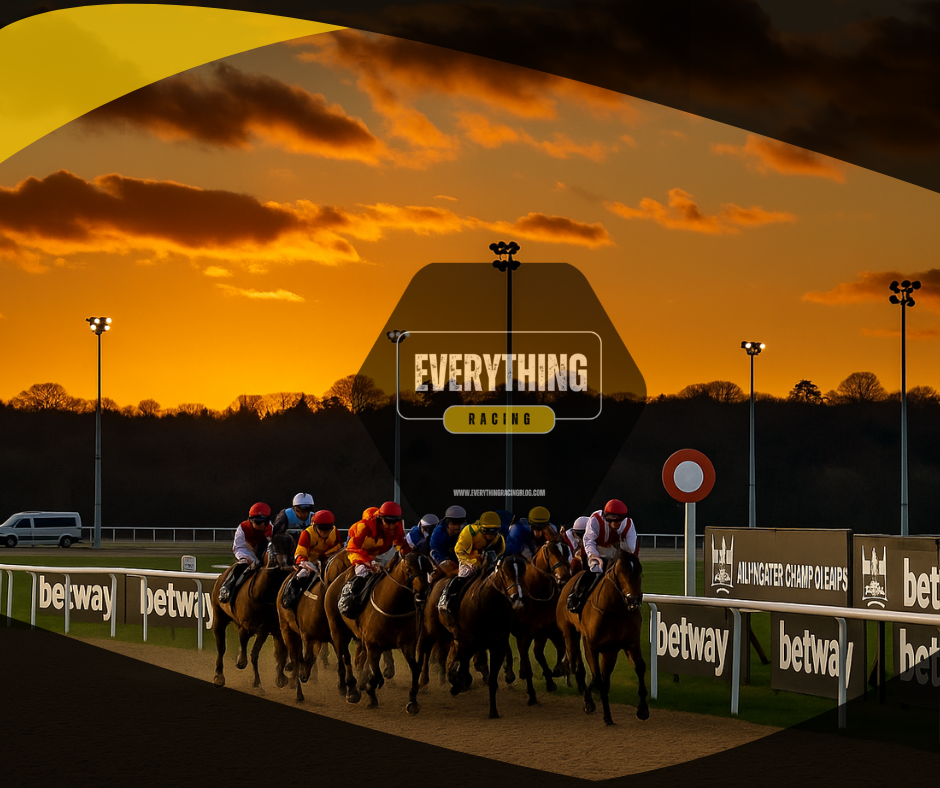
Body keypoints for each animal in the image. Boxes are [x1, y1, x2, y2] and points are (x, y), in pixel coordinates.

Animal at [211, 532, 295, 690]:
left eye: (292, 545)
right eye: (274, 545)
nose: (287, 565)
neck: (261, 593)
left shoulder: (268, 627)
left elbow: (271, 652)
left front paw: (277, 678)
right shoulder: (245, 625)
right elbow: (244, 646)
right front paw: (240, 660)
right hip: (219, 617)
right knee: (220, 648)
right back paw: (219, 676)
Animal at [324, 552, 432, 713]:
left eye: (427, 567)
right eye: (408, 568)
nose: (423, 593)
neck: (393, 607)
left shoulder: (407, 644)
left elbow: (415, 668)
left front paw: (412, 700)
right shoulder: (373, 645)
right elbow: (375, 674)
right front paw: (371, 693)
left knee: (356, 658)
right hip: (337, 630)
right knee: (344, 657)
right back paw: (349, 688)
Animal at [437, 554, 529, 719]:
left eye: (523, 571)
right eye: (505, 573)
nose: (517, 597)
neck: (488, 606)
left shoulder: (497, 645)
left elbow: (492, 679)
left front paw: (493, 711)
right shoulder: (467, 641)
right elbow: (463, 670)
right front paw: (457, 683)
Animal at [505, 540, 572, 705]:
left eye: (566, 550)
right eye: (550, 552)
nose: (564, 578)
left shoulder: (543, 630)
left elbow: (542, 653)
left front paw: (553, 676)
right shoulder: (529, 632)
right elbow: (534, 654)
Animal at [556, 550, 648, 725]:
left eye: (639, 571)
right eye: (621, 572)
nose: (633, 599)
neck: (614, 610)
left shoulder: (627, 644)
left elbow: (639, 668)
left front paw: (643, 709)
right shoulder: (591, 646)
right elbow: (597, 675)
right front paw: (605, 714)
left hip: (608, 650)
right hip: (569, 632)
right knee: (578, 665)